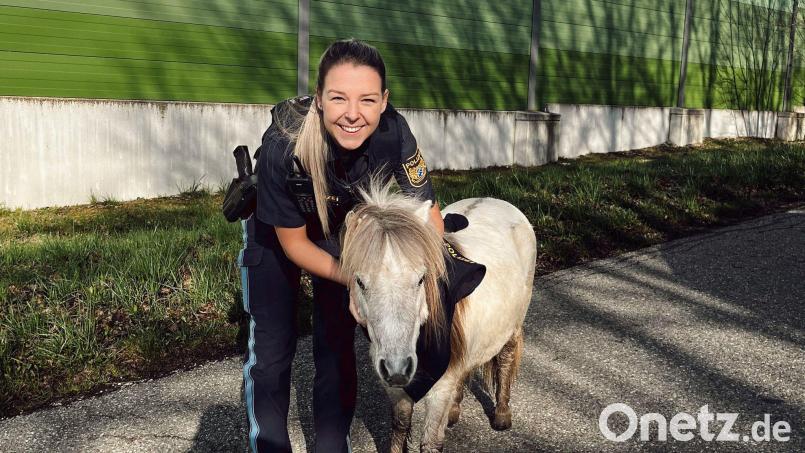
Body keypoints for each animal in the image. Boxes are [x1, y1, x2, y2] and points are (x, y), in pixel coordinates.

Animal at [340, 180, 536, 452]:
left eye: (421, 278)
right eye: (360, 281)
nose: (397, 368)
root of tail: (494, 199)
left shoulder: (438, 390)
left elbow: (430, 443)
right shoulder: (396, 389)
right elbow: (399, 428)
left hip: (514, 323)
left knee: (506, 357)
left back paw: (501, 415)